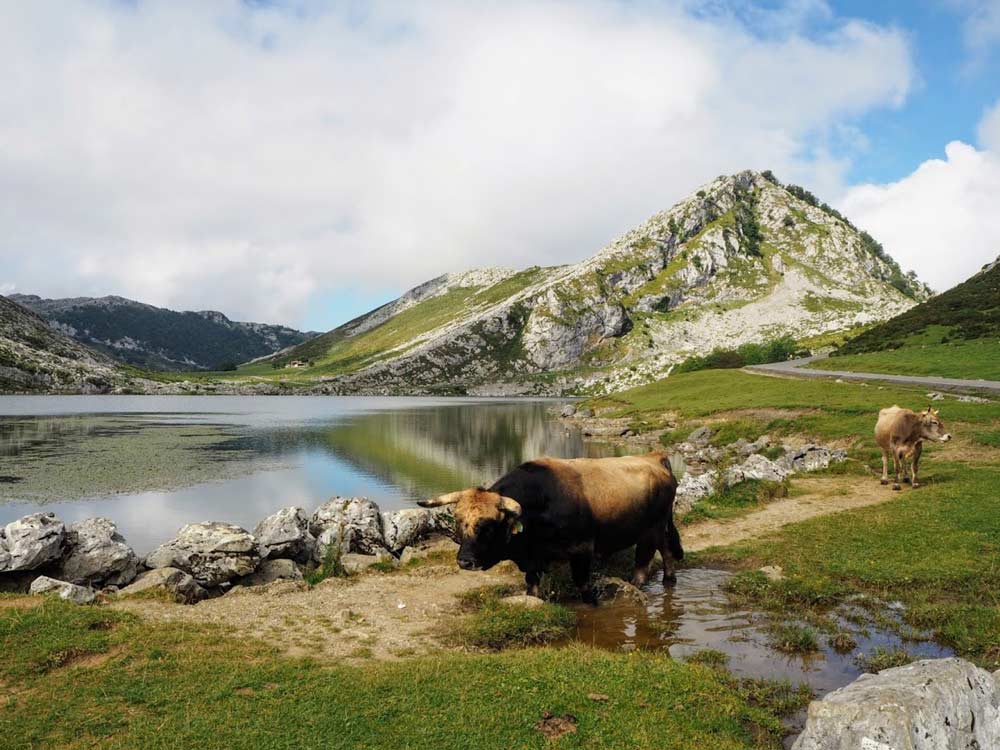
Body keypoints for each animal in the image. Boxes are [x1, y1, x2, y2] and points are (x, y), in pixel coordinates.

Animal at [418, 452, 684, 604]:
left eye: (489, 525)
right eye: (458, 521)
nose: (465, 561)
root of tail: (654, 459)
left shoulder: (582, 549)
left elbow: (583, 586)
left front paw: (592, 604)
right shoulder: (534, 559)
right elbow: (532, 585)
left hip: (649, 531)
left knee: (642, 565)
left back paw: (638, 586)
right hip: (660, 528)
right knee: (667, 550)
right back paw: (669, 579)